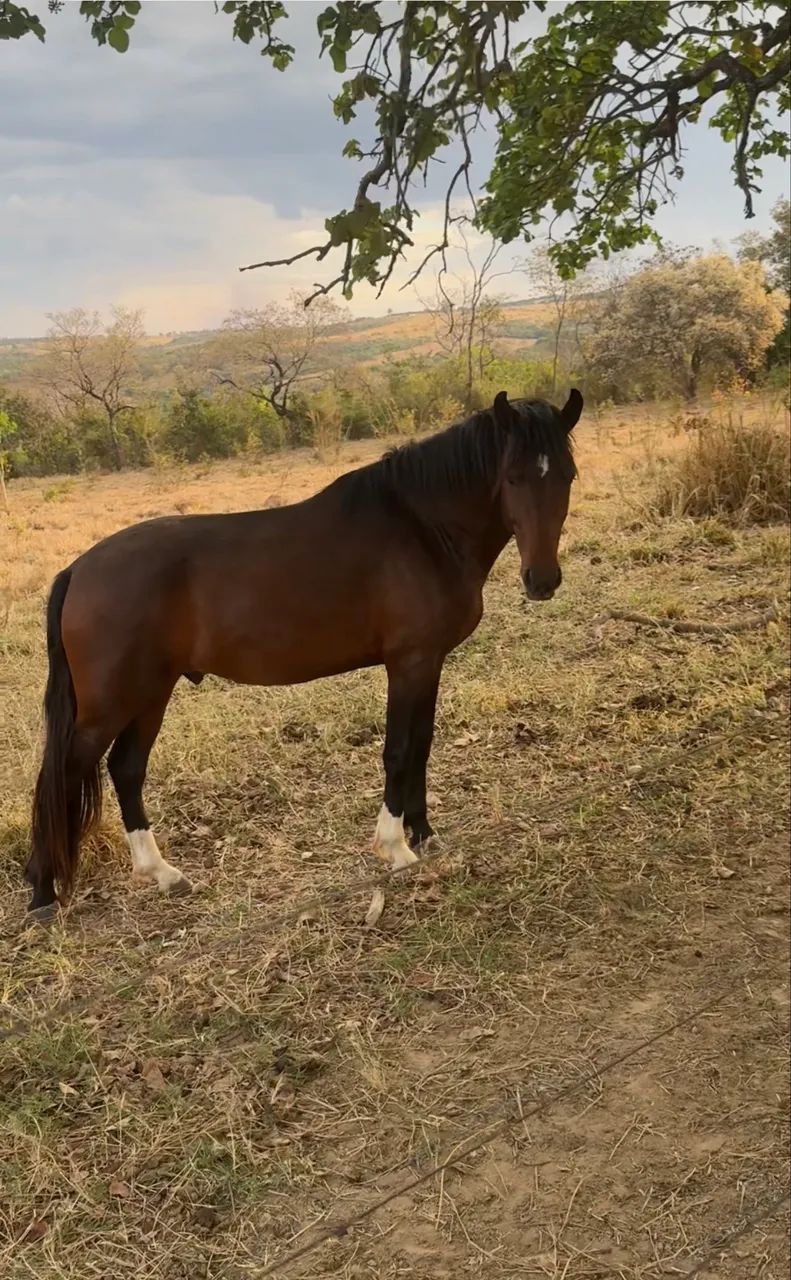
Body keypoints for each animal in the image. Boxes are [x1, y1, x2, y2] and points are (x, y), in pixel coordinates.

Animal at [25, 388, 582, 917]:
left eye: (568, 476)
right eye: (512, 477)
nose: (542, 580)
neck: (423, 529)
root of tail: (77, 569)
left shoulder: (430, 663)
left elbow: (422, 745)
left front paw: (425, 835)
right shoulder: (409, 663)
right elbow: (399, 750)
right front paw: (396, 849)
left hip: (151, 693)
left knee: (126, 770)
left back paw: (162, 874)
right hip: (110, 706)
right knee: (61, 776)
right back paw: (42, 892)